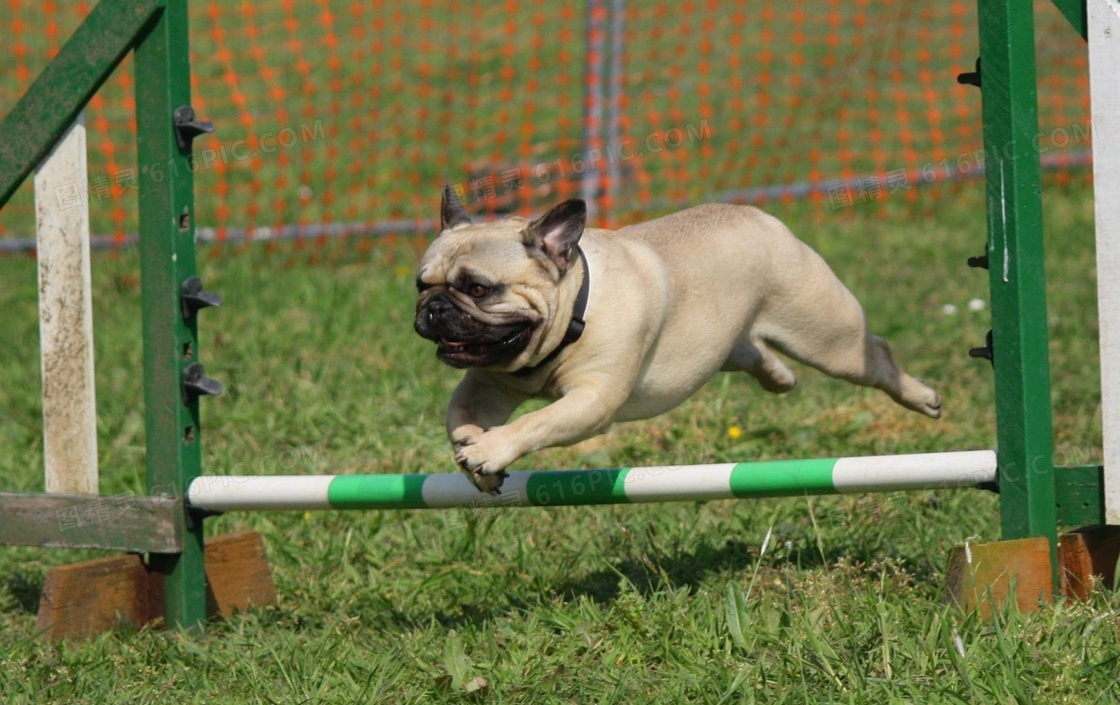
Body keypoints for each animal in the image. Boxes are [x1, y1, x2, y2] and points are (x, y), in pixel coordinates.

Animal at [416, 189, 940, 493]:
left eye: (478, 289)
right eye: (421, 285)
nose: (433, 308)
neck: (571, 314)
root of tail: (761, 218)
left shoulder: (592, 401)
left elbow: (536, 422)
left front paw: (489, 450)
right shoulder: (485, 385)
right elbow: (458, 414)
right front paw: (474, 449)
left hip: (827, 337)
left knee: (876, 356)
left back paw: (922, 397)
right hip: (725, 343)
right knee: (751, 351)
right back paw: (778, 376)